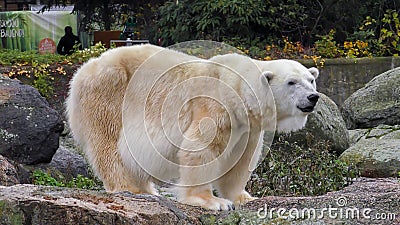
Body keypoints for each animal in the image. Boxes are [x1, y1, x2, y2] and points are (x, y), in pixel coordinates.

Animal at [67, 44, 320, 211]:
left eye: (311, 80)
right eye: (291, 82)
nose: (313, 97)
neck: (237, 89)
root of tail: (84, 70)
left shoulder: (246, 128)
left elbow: (240, 161)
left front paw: (245, 198)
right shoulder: (214, 106)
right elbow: (201, 149)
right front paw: (212, 202)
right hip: (109, 94)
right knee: (110, 145)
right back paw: (131, 188)